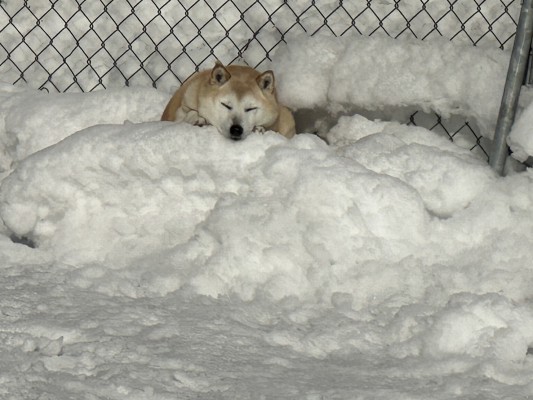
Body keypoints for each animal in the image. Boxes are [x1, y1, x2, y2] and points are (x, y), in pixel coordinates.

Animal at [160, 60, 298, 140]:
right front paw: (198, 119)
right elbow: (190, 113)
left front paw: (259, 129)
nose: (236, 129)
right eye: (226, 105)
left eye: (250, 108)